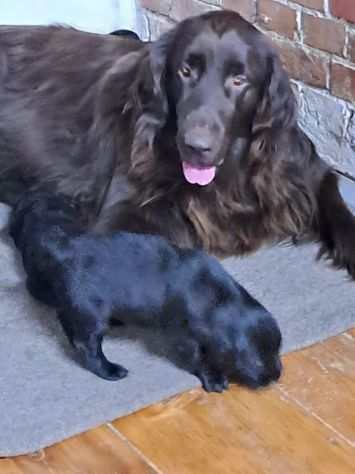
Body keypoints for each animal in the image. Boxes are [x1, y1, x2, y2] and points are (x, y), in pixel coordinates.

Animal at [9, 192, 284, 392]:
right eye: (257, 361)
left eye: (278, 350)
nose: (275, 376)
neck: (220, 301)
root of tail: (64, 248)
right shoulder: (187, 338)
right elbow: (201, 359)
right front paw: (214, 379)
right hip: (90, 311)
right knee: (86, 345)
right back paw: (111, 370)